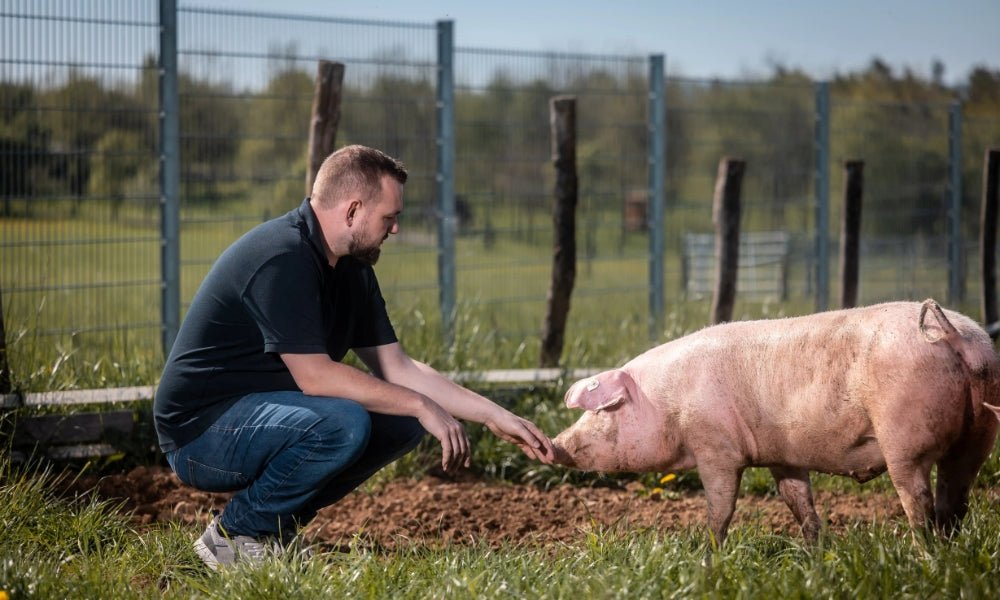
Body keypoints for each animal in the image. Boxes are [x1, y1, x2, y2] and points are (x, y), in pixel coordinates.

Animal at [553, 299, 1000, 545]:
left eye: (602, 410)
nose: (556, 445)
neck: (668, 402)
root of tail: (954, 336)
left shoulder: (715, 447)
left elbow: (721, 508)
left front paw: (709, 553)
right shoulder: (782, 456)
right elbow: (798, 503)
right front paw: (814, 552)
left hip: (906, 439)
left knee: (920, 503)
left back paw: (924, 553)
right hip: (979, 433)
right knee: (955, 501)